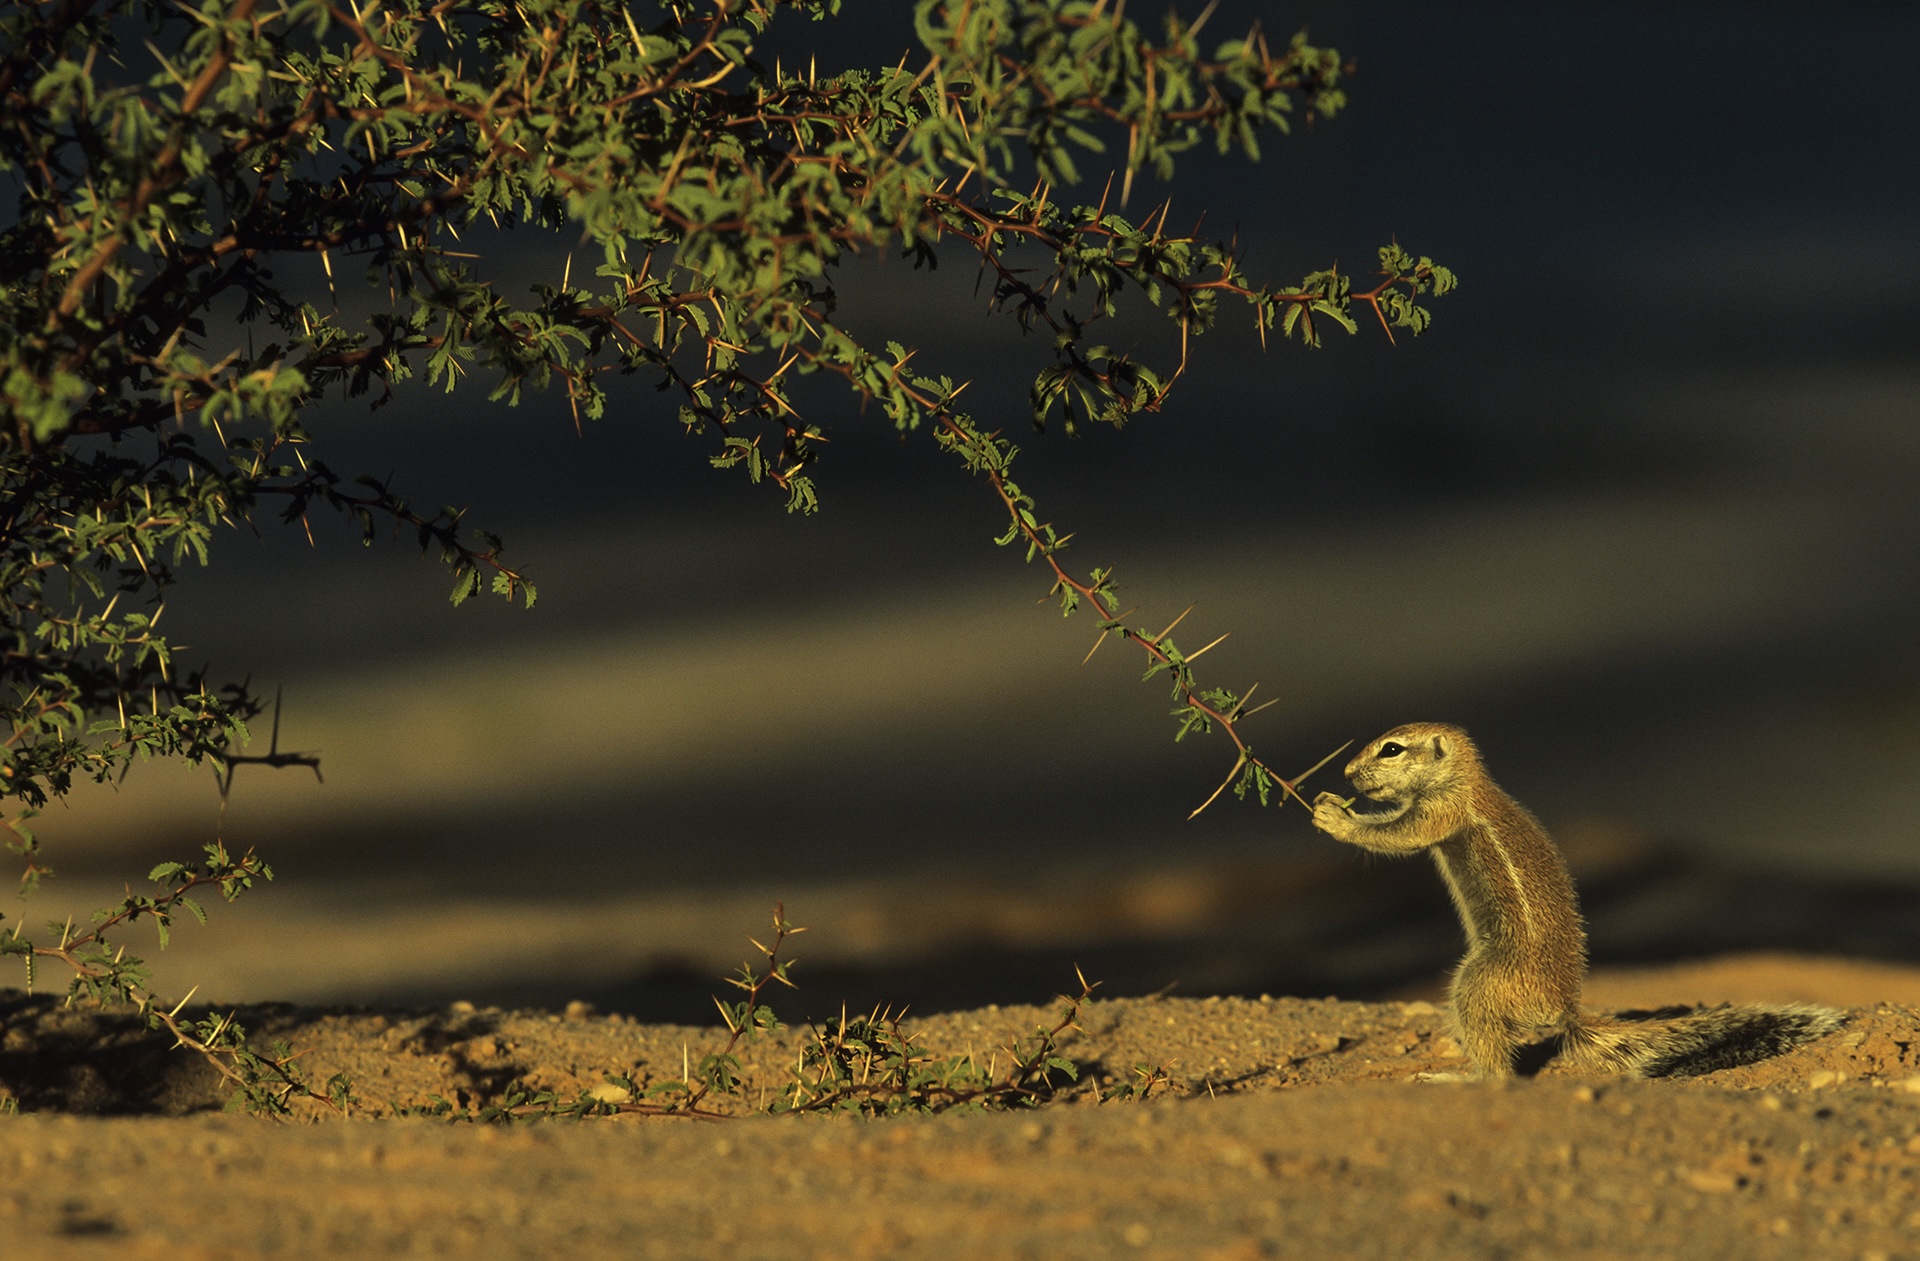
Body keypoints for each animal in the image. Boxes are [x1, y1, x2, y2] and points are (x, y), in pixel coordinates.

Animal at [1305, 721, 1843, 1074]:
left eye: (1391, 749)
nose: (1348, 774)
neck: (1464, 779)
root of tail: (1561, 1011)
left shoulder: (1442, 811)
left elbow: (1398, 836)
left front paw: (1333, 815)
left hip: (1479, 981)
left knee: (1501, 1069)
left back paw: (1456, 1077)